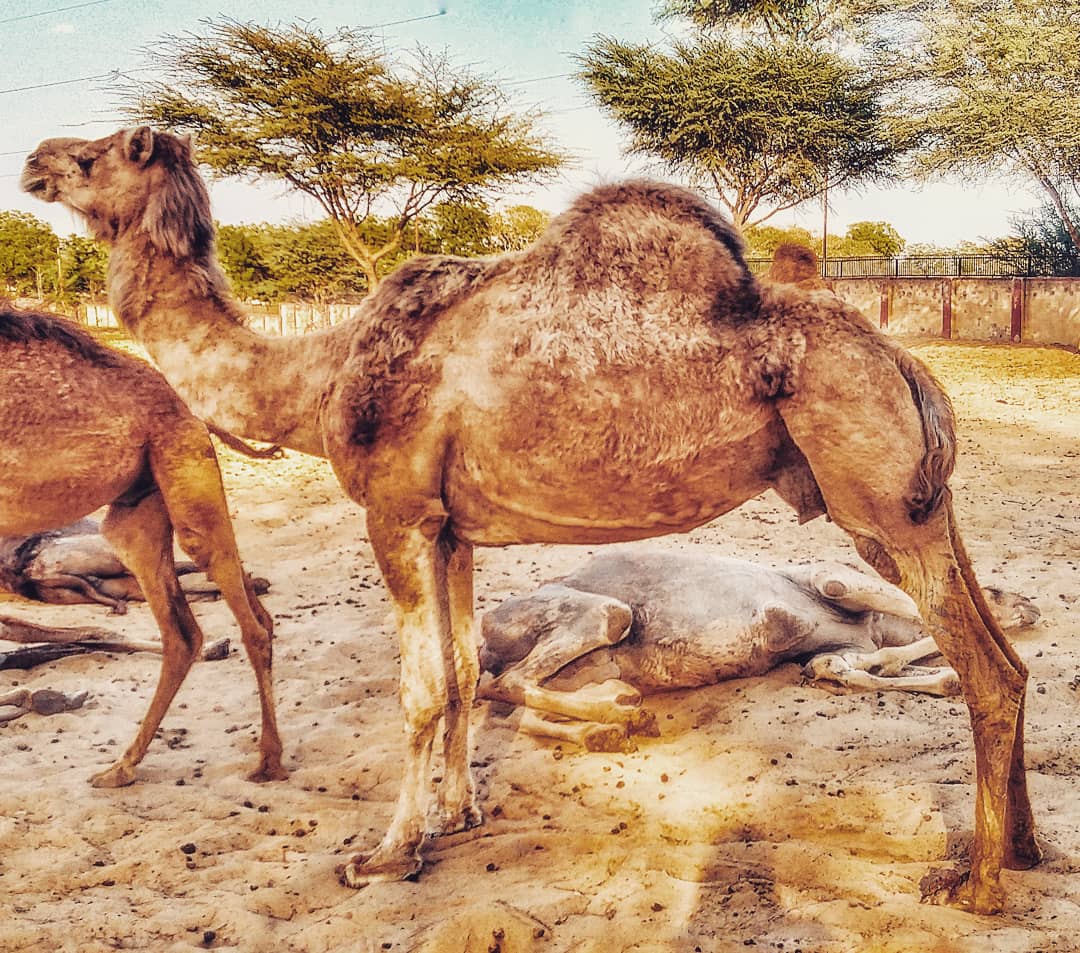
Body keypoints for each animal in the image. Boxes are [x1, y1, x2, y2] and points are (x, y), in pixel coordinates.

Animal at [0, 302, 284, 787]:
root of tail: (184, 403)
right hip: (134, 517)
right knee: (186, 632)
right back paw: (122, 766)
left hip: (185, 475)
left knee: (250, 623)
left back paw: (268, 759)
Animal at [479, 547, 1041, 752]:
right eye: (995, 591)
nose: (1033, 606)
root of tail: (486, 636)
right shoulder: (833, 579)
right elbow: (919, 618)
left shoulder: (832, 642)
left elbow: (837, 663)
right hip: (604, 614)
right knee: (509, 681)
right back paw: (619, 718)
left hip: (594, 664)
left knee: (514, 705)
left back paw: (611, 722)